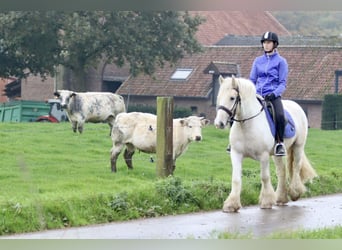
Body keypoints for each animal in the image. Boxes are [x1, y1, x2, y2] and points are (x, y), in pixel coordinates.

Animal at [214, 75, 318, 212]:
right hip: (276, 153)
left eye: (232, 98)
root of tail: (296, 105)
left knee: (296, 166)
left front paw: (267, 201)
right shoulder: (236, 154)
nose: (219, 123)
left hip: (298, 146)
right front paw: (231, 204)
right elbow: (236, 179)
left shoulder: (263, 156)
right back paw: (281, 198)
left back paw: (295, 193)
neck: (246, 125)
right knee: (281, 171)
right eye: (219, 97)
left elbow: (264, 177)